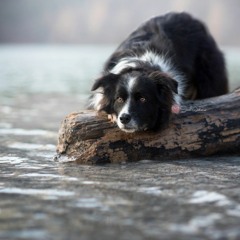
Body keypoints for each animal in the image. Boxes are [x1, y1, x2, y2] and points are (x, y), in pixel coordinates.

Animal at [89, 12, 228, 133]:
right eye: (119, 99)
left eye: (143, 99)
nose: (123, 118)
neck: (140, 64)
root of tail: (190, 17)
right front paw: (112, 115)